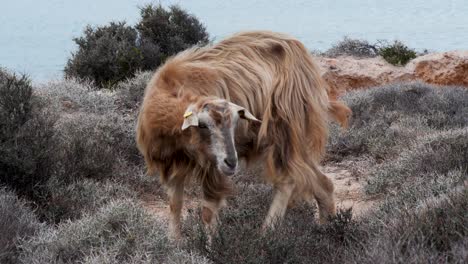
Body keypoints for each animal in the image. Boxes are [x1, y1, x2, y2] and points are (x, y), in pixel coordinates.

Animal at [135, 29, 352, 238]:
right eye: (202, 125)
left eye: (235, 123)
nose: (232, 162)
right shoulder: (172, 161)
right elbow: (174, 204)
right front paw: (175, 243)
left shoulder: (212, 168)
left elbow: (207, 211)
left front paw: (211, 245)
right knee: (321, 181)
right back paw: (326, 228)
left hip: (283, 127)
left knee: (288, 179)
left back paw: (266, 234)